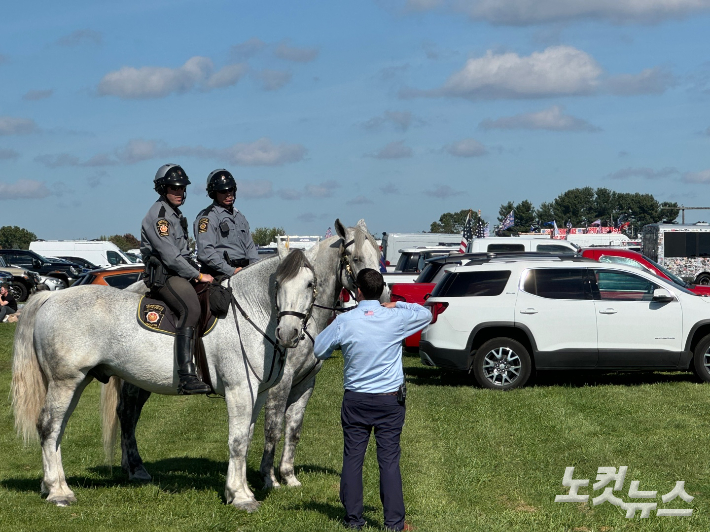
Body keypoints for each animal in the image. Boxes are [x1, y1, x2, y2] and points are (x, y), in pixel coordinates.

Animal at [8, 242, 318, 512]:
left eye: (310, 284)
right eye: (278, 284)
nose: (288, 333)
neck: (247, 313)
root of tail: (51, 297)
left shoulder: (258, 394)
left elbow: (248, 437)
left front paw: (241, 491)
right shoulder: (239, 390)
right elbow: (238, 440)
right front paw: (240, 496)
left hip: (76, 382)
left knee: (58, 429)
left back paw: (54, 486)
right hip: (65, 381)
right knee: (49, 426)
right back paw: (58, 492)